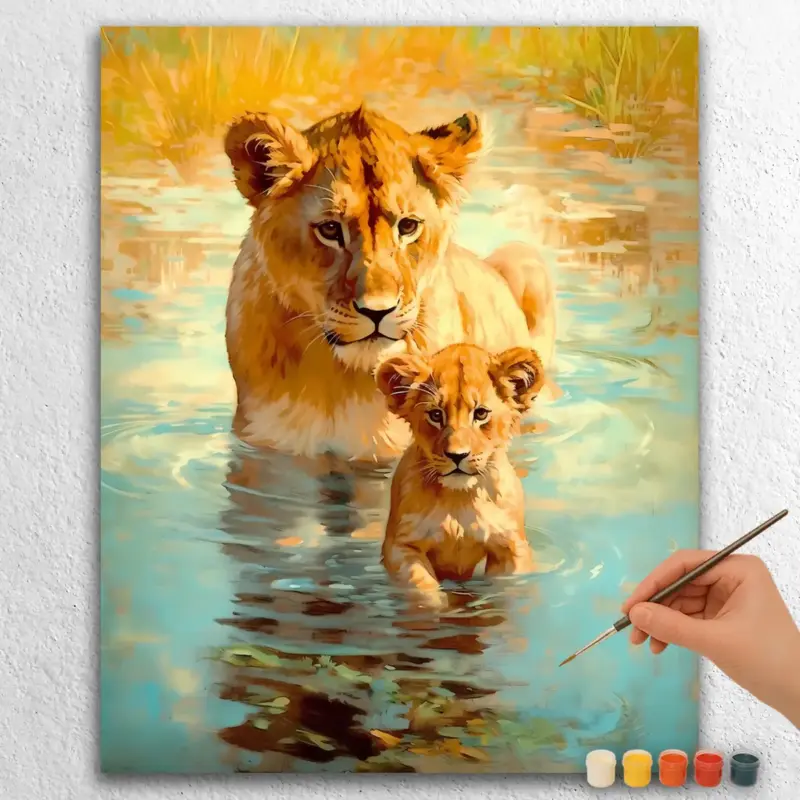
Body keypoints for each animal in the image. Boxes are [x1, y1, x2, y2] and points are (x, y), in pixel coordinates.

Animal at [224, 106, 555, 461]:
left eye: (408, 226)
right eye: (330, 229)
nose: (377, 311)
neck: (344, 383)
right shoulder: (265, 447)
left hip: (523, 257)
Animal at [376, 343, 542, 606]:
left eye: (481, 414)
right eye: (435, 415)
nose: (457, 455)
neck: (459, 499)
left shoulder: (511, 548)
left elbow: (504, 588)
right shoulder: (401, 546)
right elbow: (422, 587)